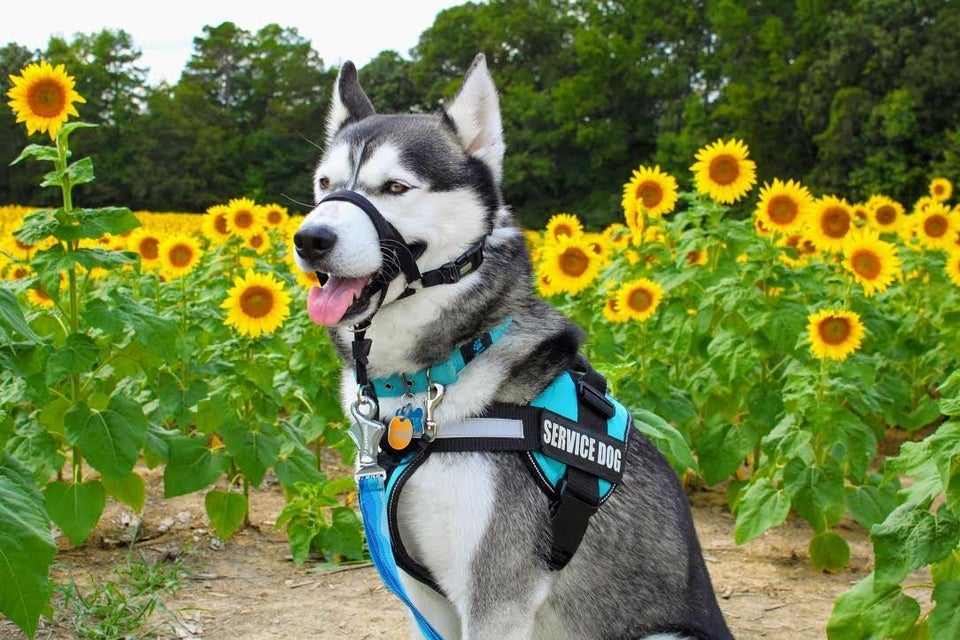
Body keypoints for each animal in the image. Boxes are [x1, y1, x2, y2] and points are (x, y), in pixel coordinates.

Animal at [292, 53, 728, 640]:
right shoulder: (424, 598)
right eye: (325, 184)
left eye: (396, 188)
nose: (309, 239)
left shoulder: (497, 596)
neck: (427, 384)